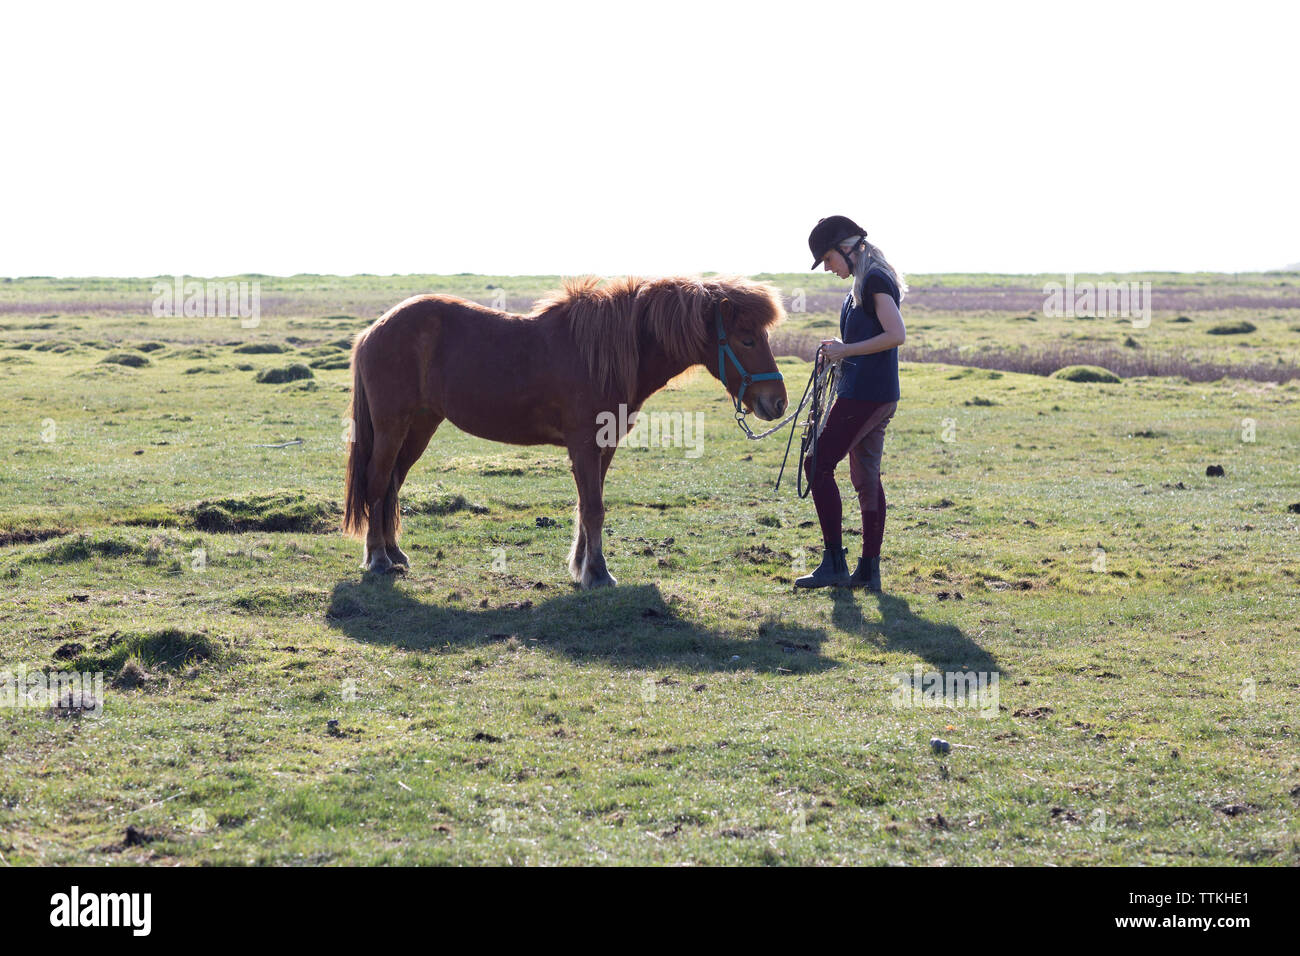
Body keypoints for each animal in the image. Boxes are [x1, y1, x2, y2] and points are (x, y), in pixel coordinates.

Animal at [345, 277, 785, 587]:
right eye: (747, 339)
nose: (778, 402)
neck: (603, 355)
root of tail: (373, 330)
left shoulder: (604, 446)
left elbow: (589, 505)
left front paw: (582, 566)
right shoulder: (585, 445)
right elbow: (593, 508)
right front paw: (598, 573)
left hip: (420, 426)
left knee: (392, 485)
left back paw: (395, 553)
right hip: (392, 426)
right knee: (378, 481)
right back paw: (379, 559)